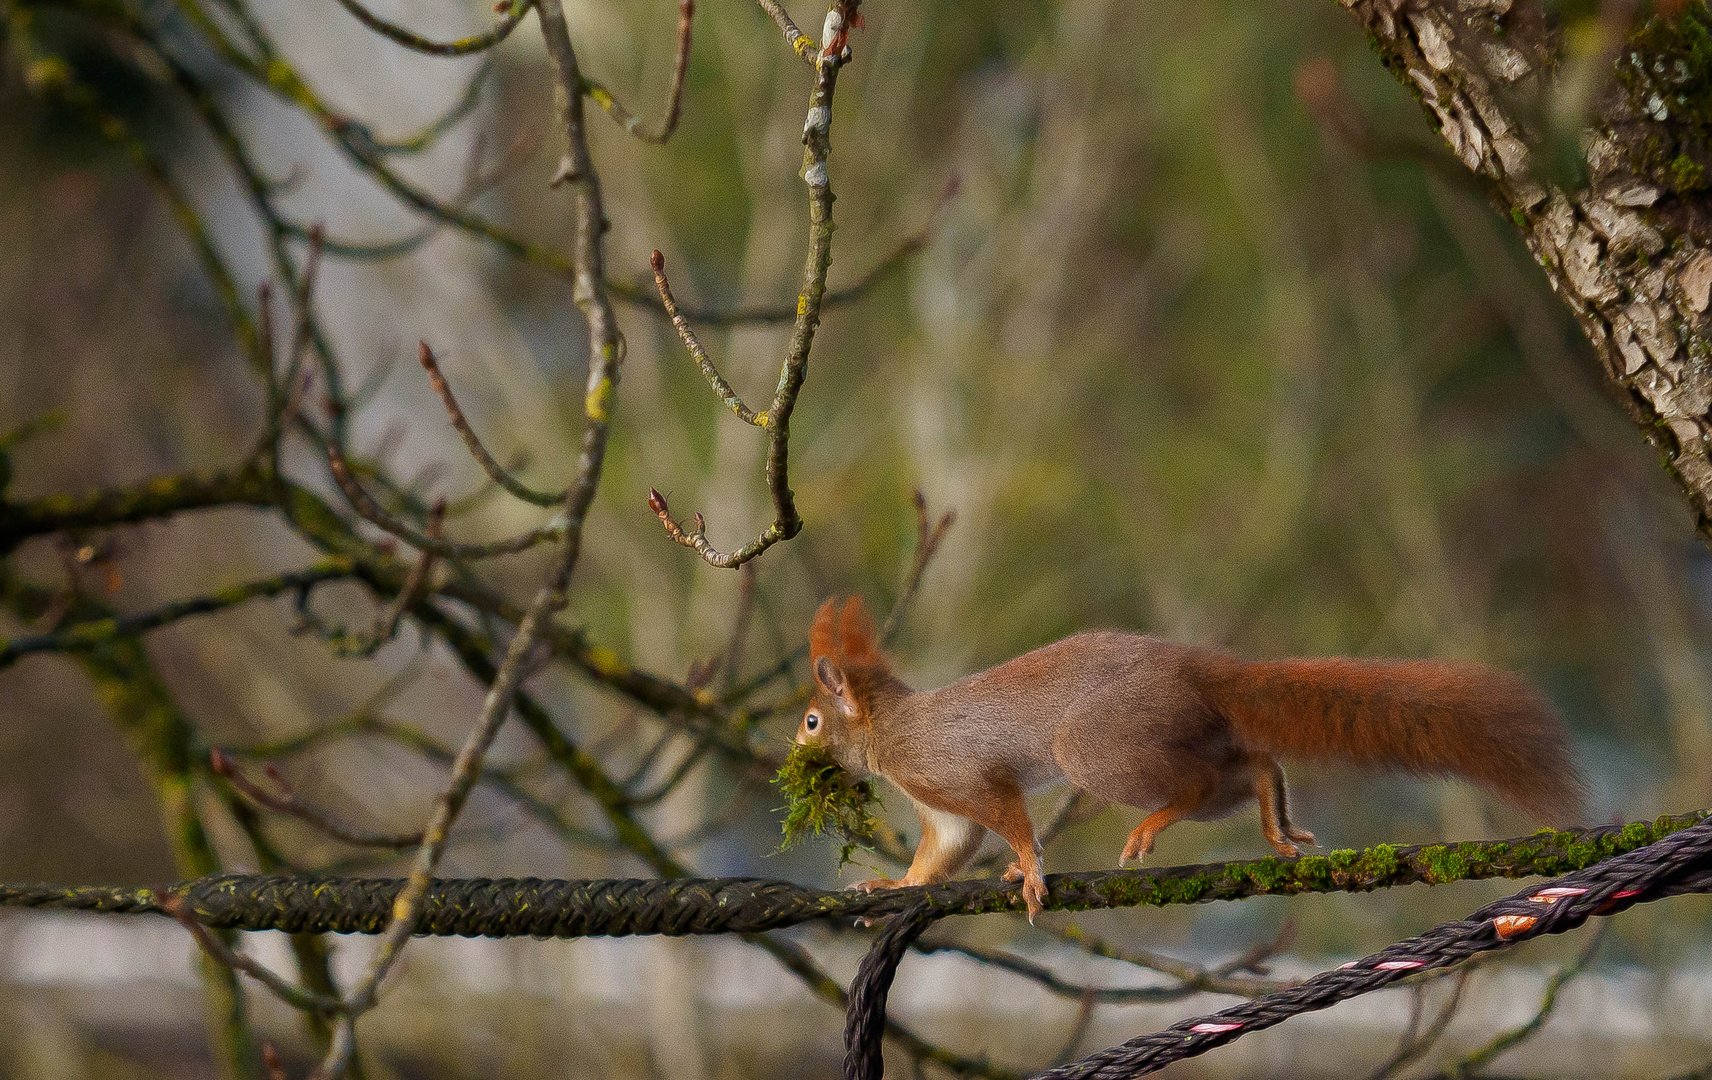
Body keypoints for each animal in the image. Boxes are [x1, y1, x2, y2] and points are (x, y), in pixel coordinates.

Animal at [794, 595, 1581, 917]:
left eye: (810, 721)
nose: (794, 754)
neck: (888, 730)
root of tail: (1194, 669)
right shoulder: (941, 810)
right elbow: (942, 853)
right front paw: (891, 885)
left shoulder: (952, 770)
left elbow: (1006, 816)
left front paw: (1028, 871)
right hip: (1177, 734)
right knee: (1252, 766)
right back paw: (1274, 822)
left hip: (1099, 747)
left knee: (1201, 784)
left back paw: (1151, 827)